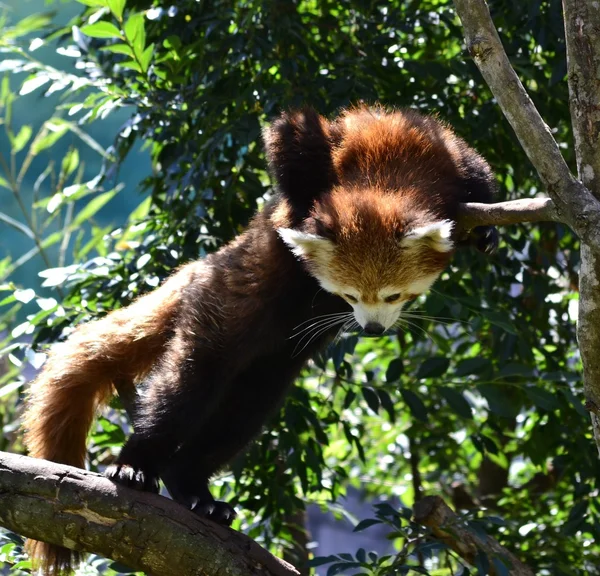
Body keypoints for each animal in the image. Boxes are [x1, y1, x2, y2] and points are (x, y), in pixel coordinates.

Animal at [21, 106, 496, 572]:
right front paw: (304, 210)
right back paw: (135, 465)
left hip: (273, 358)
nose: (372, 328)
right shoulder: (319, 142)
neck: (386, 165)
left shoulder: (443, 148)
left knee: (247, 406)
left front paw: (486, 232)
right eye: (348, 296)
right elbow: (290, 146)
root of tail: (202, 265)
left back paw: (192, 487)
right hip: (222, 305)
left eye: (395, 295)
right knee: (186, 384)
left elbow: (481, 177)